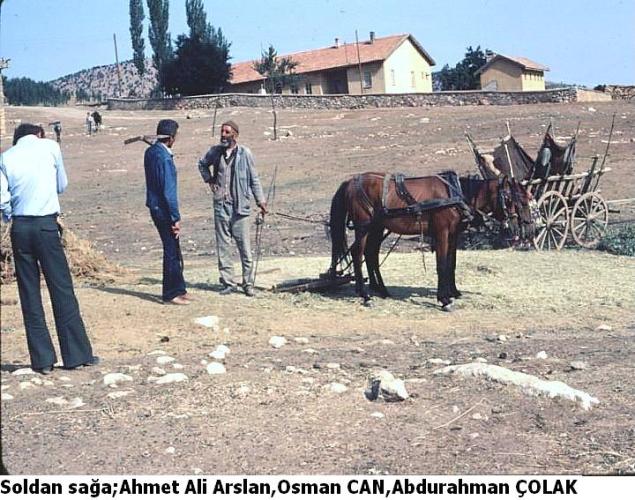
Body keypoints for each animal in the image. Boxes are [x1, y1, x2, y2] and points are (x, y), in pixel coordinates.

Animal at [327, 171, 536, 310]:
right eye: (516, 200)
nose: (528, 229)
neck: (456, 193)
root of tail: (351, 182)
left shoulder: (453, 234)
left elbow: (451, 263)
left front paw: (454, 292)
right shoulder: (442, 232)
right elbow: (442, 264)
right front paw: (444, 300)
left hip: (377, 227)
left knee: (371, 254)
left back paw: (381, 290)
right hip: (363, 226)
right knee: (358, 253)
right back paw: (365, 295)